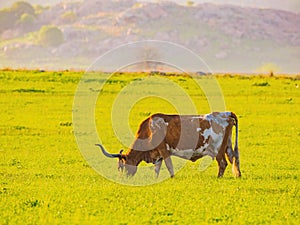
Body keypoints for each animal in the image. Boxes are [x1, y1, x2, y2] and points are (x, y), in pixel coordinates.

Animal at [96, 111, 241, 178]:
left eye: (121, 166)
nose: (122, 179)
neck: (149, 130)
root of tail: (226, 113)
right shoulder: (158, 155)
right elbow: (157, 169)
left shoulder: (164, 150)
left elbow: (169, 166)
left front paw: (172, 178)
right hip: (228, 146)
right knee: (233, 159)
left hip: (218, 150)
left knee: (223, 163)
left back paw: (218, 178)